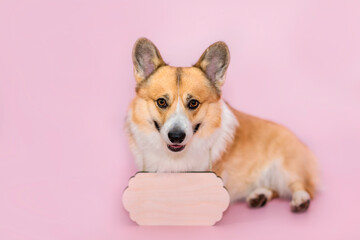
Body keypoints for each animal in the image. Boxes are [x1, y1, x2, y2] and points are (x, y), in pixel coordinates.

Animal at [125, 37, 316, 212]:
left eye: (193, 103)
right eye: (161, 102)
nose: (176, 136)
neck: (175, 156)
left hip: (285, 169)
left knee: (301, 185)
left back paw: (300, 200)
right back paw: (259, 195)